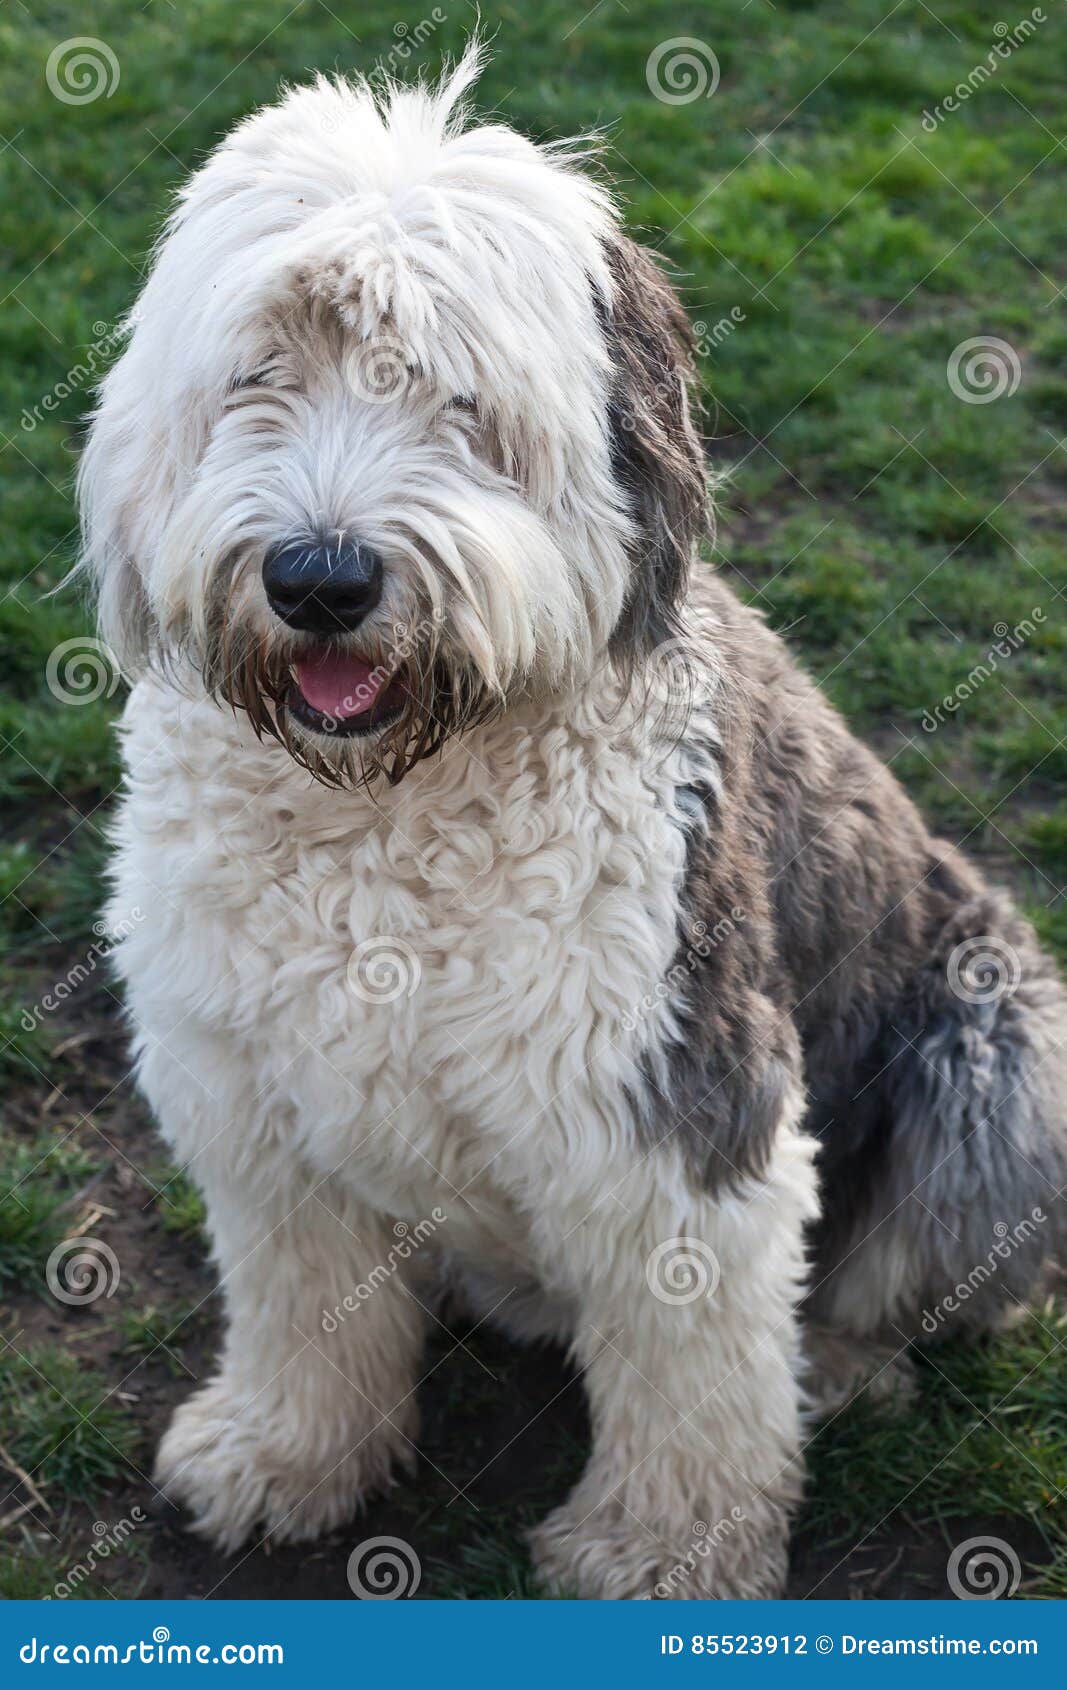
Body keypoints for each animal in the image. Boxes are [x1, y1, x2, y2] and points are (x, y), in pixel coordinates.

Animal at [77, 49, 1067, 1595]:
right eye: (259, 376)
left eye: (457, 399)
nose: (318, 578)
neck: (388, 806)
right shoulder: (249, 1101)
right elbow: (302, 1305)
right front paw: (280, 1455)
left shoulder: (667, 1102)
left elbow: (691, 1362)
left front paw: (659, 1553)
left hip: (997, 1048)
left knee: (915, 1274)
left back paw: (840, 1369)